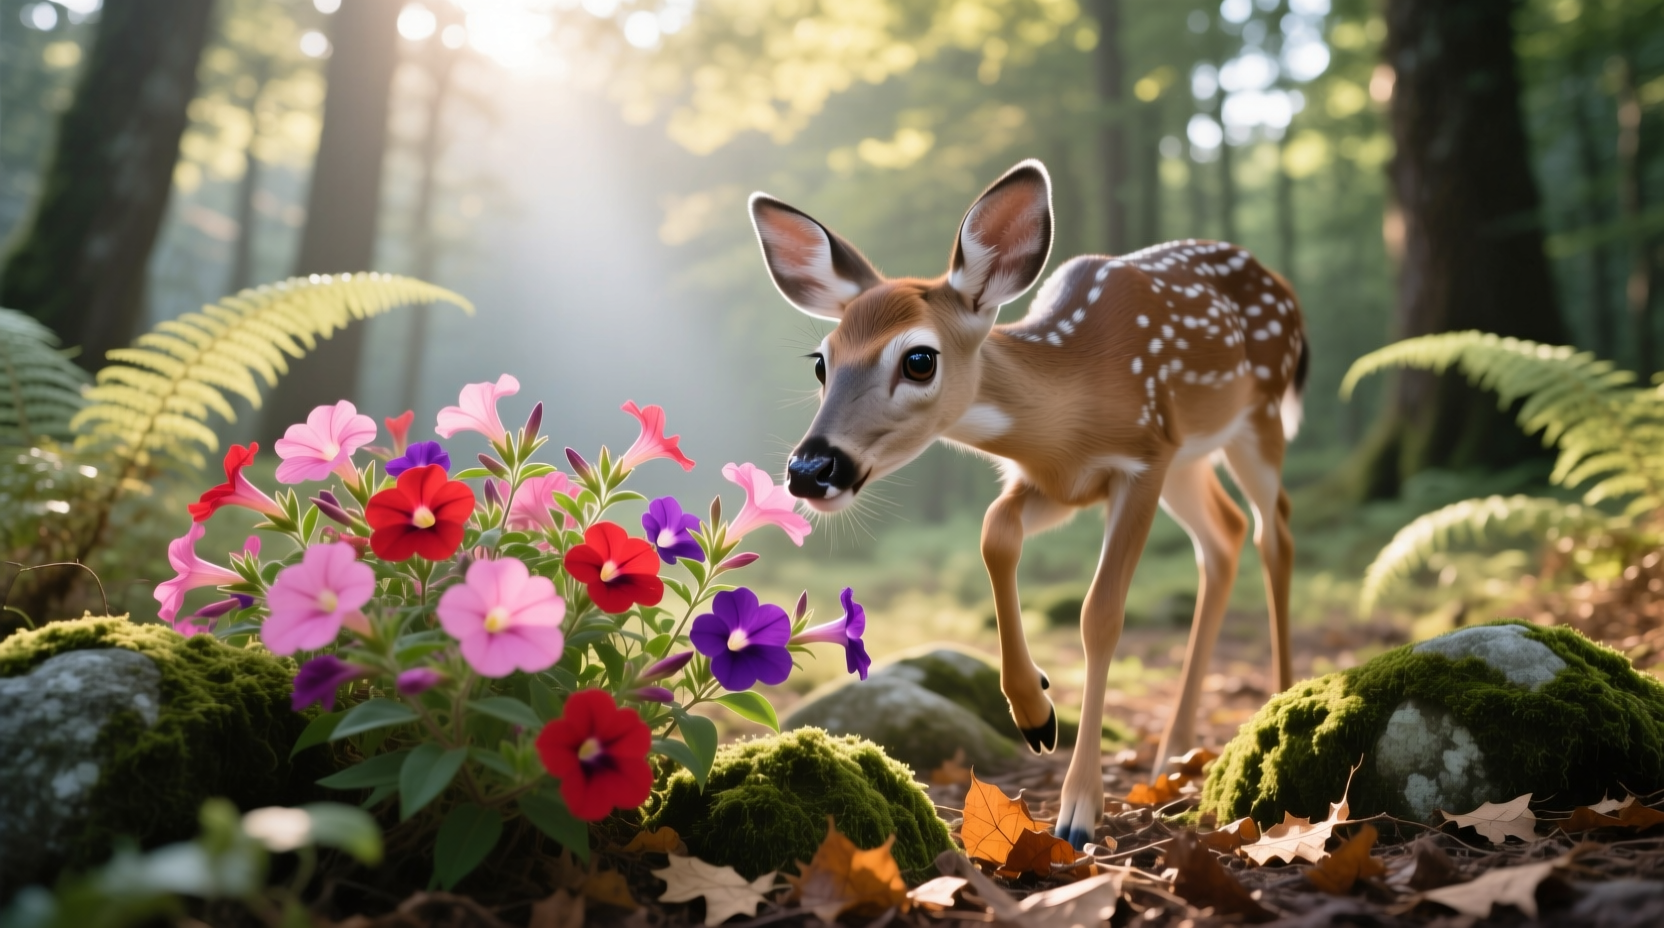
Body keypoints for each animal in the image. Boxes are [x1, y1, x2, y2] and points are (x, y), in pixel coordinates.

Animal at [747, 159, 1306, 848]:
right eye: (821, 363)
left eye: (919, 359)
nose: (810, 470)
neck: (1072, 409)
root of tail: (1283, 288)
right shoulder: (1059, 482)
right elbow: (995, 533)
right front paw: (1035, 709)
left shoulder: (1143, 459)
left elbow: (1101, 615)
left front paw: (1079, 811)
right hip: (1191, 458)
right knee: (1223, 537)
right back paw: (1172, 758)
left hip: (1258, 419)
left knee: (1273, 531)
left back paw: (1278, 708)